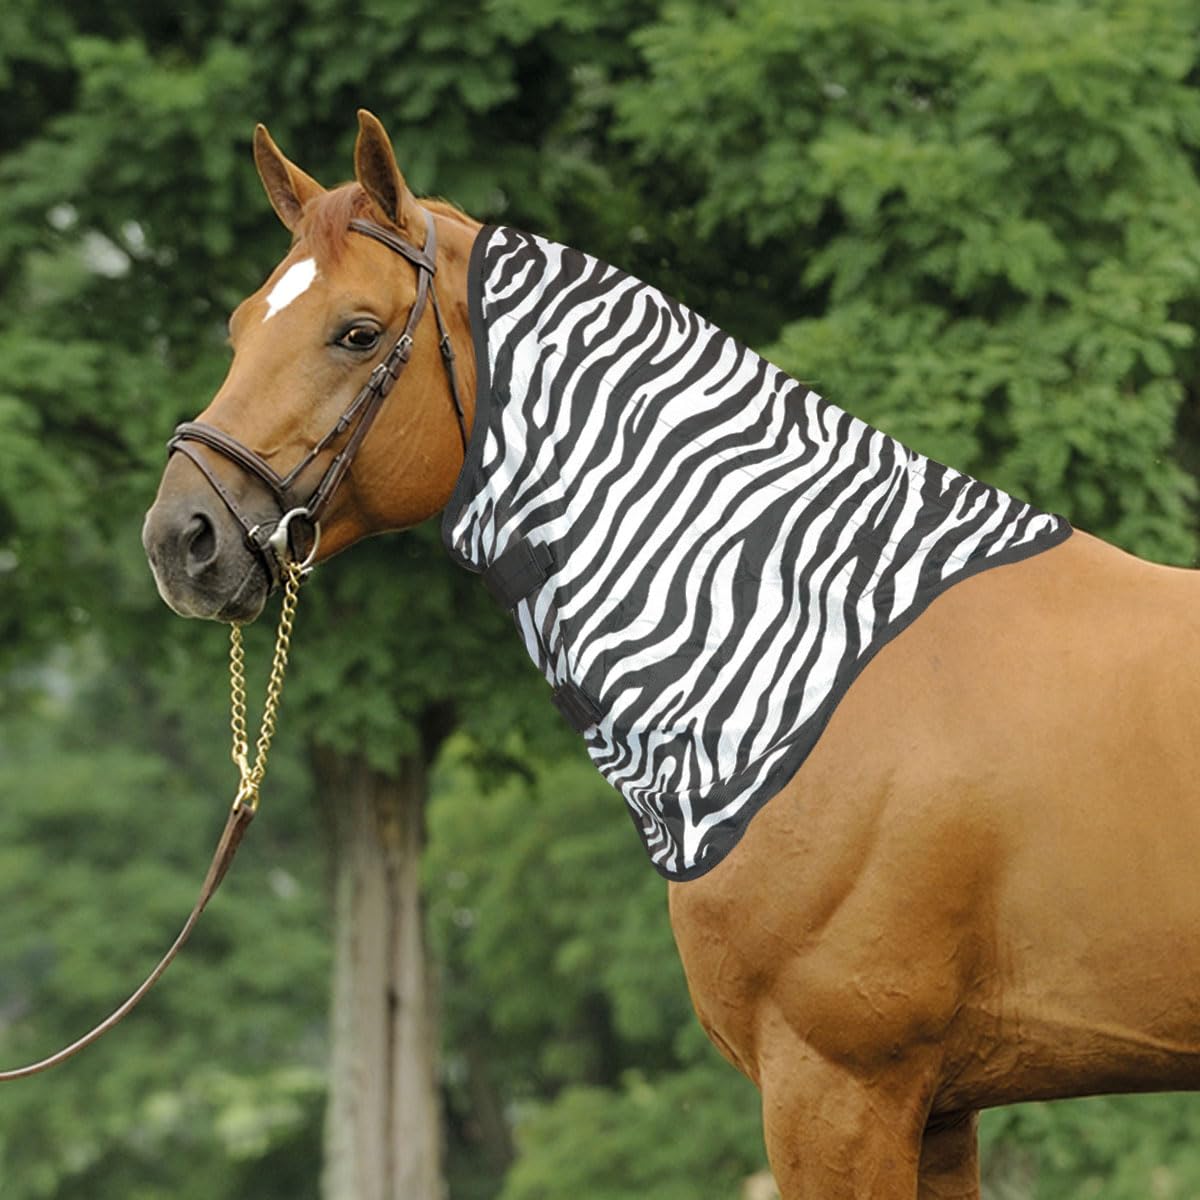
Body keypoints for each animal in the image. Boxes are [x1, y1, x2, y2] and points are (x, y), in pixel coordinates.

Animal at [142, 110, 1200, 1199]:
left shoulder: (841, 1087)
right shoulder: (940, 1108)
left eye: (355, 332)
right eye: (240, 327)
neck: (817, 671)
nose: (183, 538)